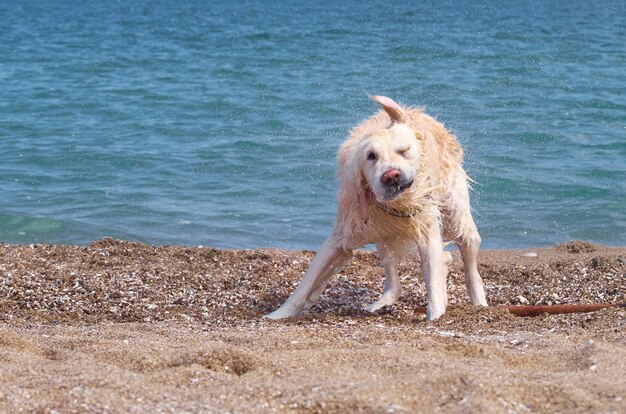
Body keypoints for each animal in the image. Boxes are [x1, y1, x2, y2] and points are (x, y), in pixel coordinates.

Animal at [264, 94, 488, 320]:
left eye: (403, 151)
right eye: (371, 156)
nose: (391, 176)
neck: (394, 205)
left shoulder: (426, 230)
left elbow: (433, 278)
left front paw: (435, 316)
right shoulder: (342, 234)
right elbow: (306, 283)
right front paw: (278, 314)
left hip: (456, 215)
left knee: (469, 260)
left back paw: (479, 302)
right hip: (382, 237)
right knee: (395, 278)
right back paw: (380, 303)